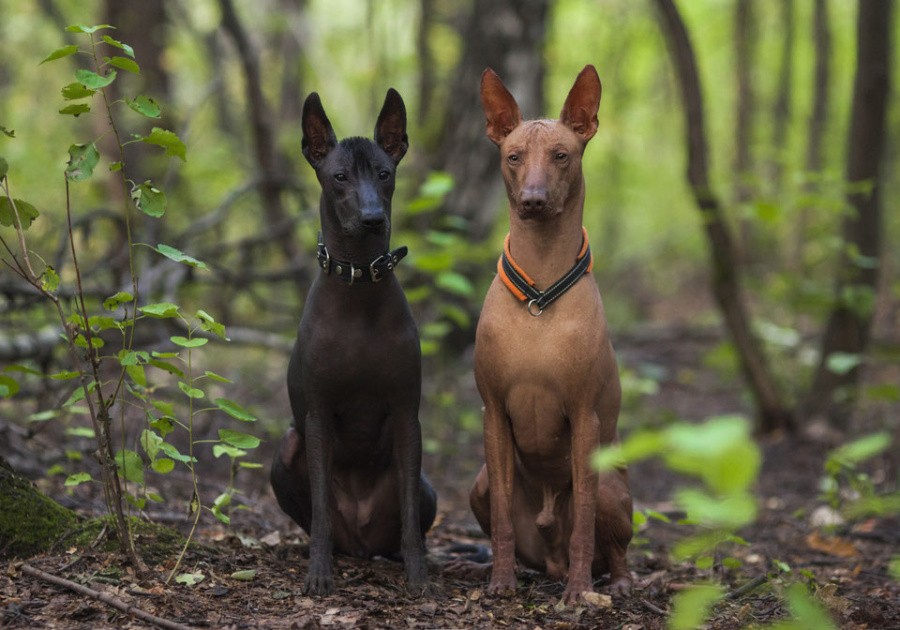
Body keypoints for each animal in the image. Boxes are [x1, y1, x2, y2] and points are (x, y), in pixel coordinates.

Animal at [472, 65, 632, 608]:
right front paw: (499, 582)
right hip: (478, 484)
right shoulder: (494, 414)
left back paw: (610, 582)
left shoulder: (584, 417)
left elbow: (582, 518)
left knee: (609, 546)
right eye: (513, 156)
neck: (540, 291)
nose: (534, 200)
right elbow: (502, 516)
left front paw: (580, 592)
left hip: (613, 488)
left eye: (562, 155)